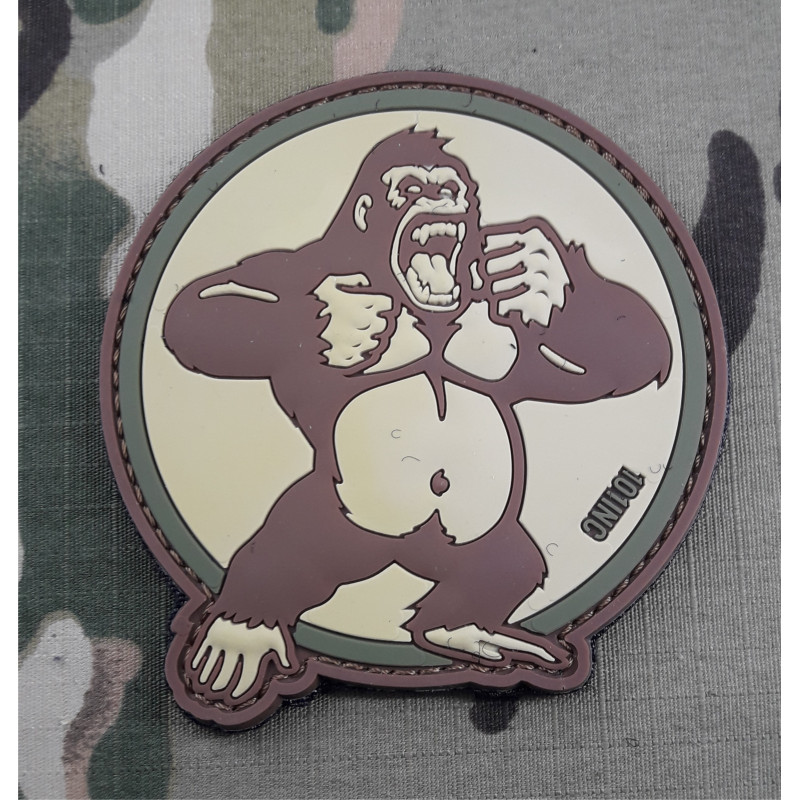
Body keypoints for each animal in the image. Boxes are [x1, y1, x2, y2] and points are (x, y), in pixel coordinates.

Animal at [163, 129, 672, 711]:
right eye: (410, 189)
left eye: (450, 188)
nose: (442, 200)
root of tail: (403, 552)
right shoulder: (297, 267)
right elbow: (203, 303)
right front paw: (335, 321)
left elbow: (631, 353)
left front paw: (541, 277)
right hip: (331, 522)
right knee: (283, 552)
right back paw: (245, 628)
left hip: (481, 541)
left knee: (509, 566)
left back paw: (465, 628)